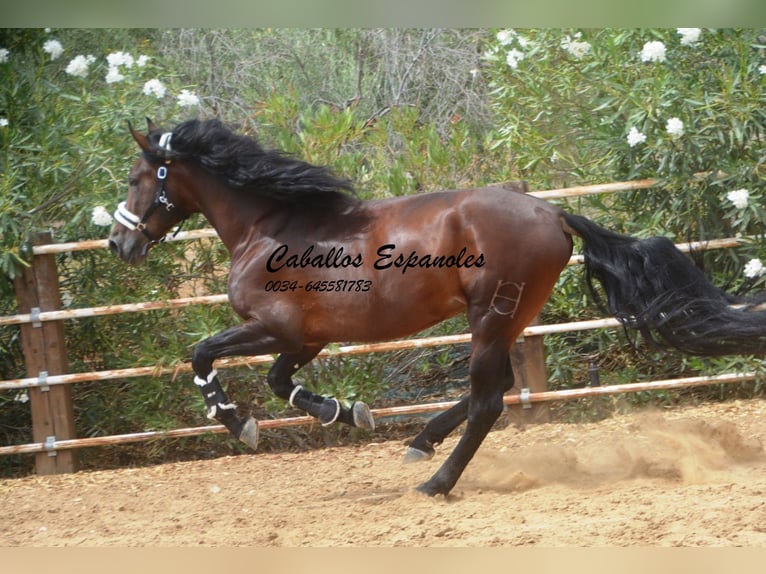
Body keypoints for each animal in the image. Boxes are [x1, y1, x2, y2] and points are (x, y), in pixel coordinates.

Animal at [108, 118, 766, 500]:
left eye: (139, 176)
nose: (119, 244)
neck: (269, 227)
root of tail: (553, 212)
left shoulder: (270, 327)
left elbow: (203, 356)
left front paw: (237, 423)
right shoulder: (305, 338)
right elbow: (279, 382)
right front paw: (344, 412)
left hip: (491, 316)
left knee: (488, 400)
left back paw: (435, 481)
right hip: (507, 319)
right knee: (496, 389)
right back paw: (421, 440)